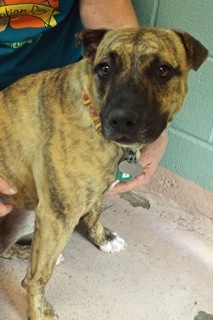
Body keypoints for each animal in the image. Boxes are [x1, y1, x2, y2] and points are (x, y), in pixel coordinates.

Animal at [0, 28, 207, 320]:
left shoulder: (88, 192)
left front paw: (104, 238)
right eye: (105, 69)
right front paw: (39, 310)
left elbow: (95, 213)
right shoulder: (56, 215)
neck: (92, 111)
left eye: (162, 70)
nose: (122, 119)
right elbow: (37, 277)